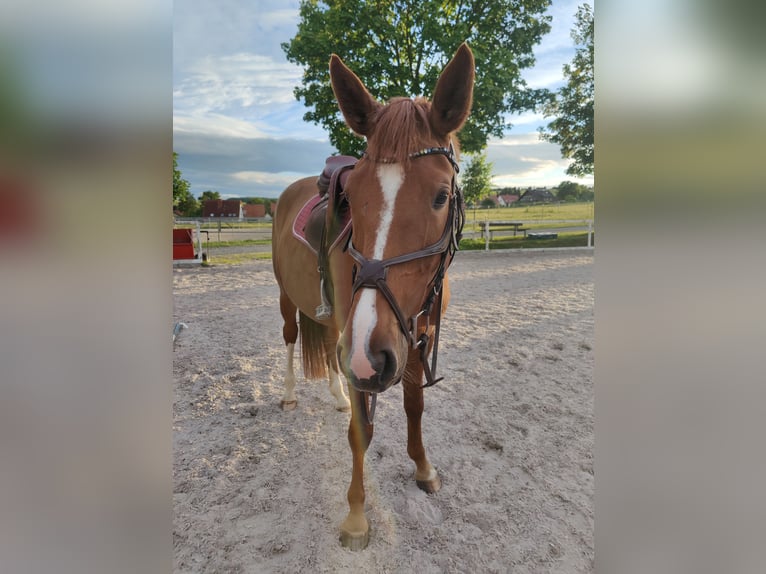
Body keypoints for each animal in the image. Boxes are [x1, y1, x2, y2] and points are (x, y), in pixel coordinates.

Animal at [271, 43, 474, 550]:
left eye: (442, 195)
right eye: (353, 195)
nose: (367, 355)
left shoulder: (415, 334)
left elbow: (414, 405)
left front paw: (423, 468)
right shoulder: (367, 344)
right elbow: (361, 431)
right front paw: (357, 515)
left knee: (329, 349)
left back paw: (338, 394)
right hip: (290, 301)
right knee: (290, 339)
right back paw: (289, 394)